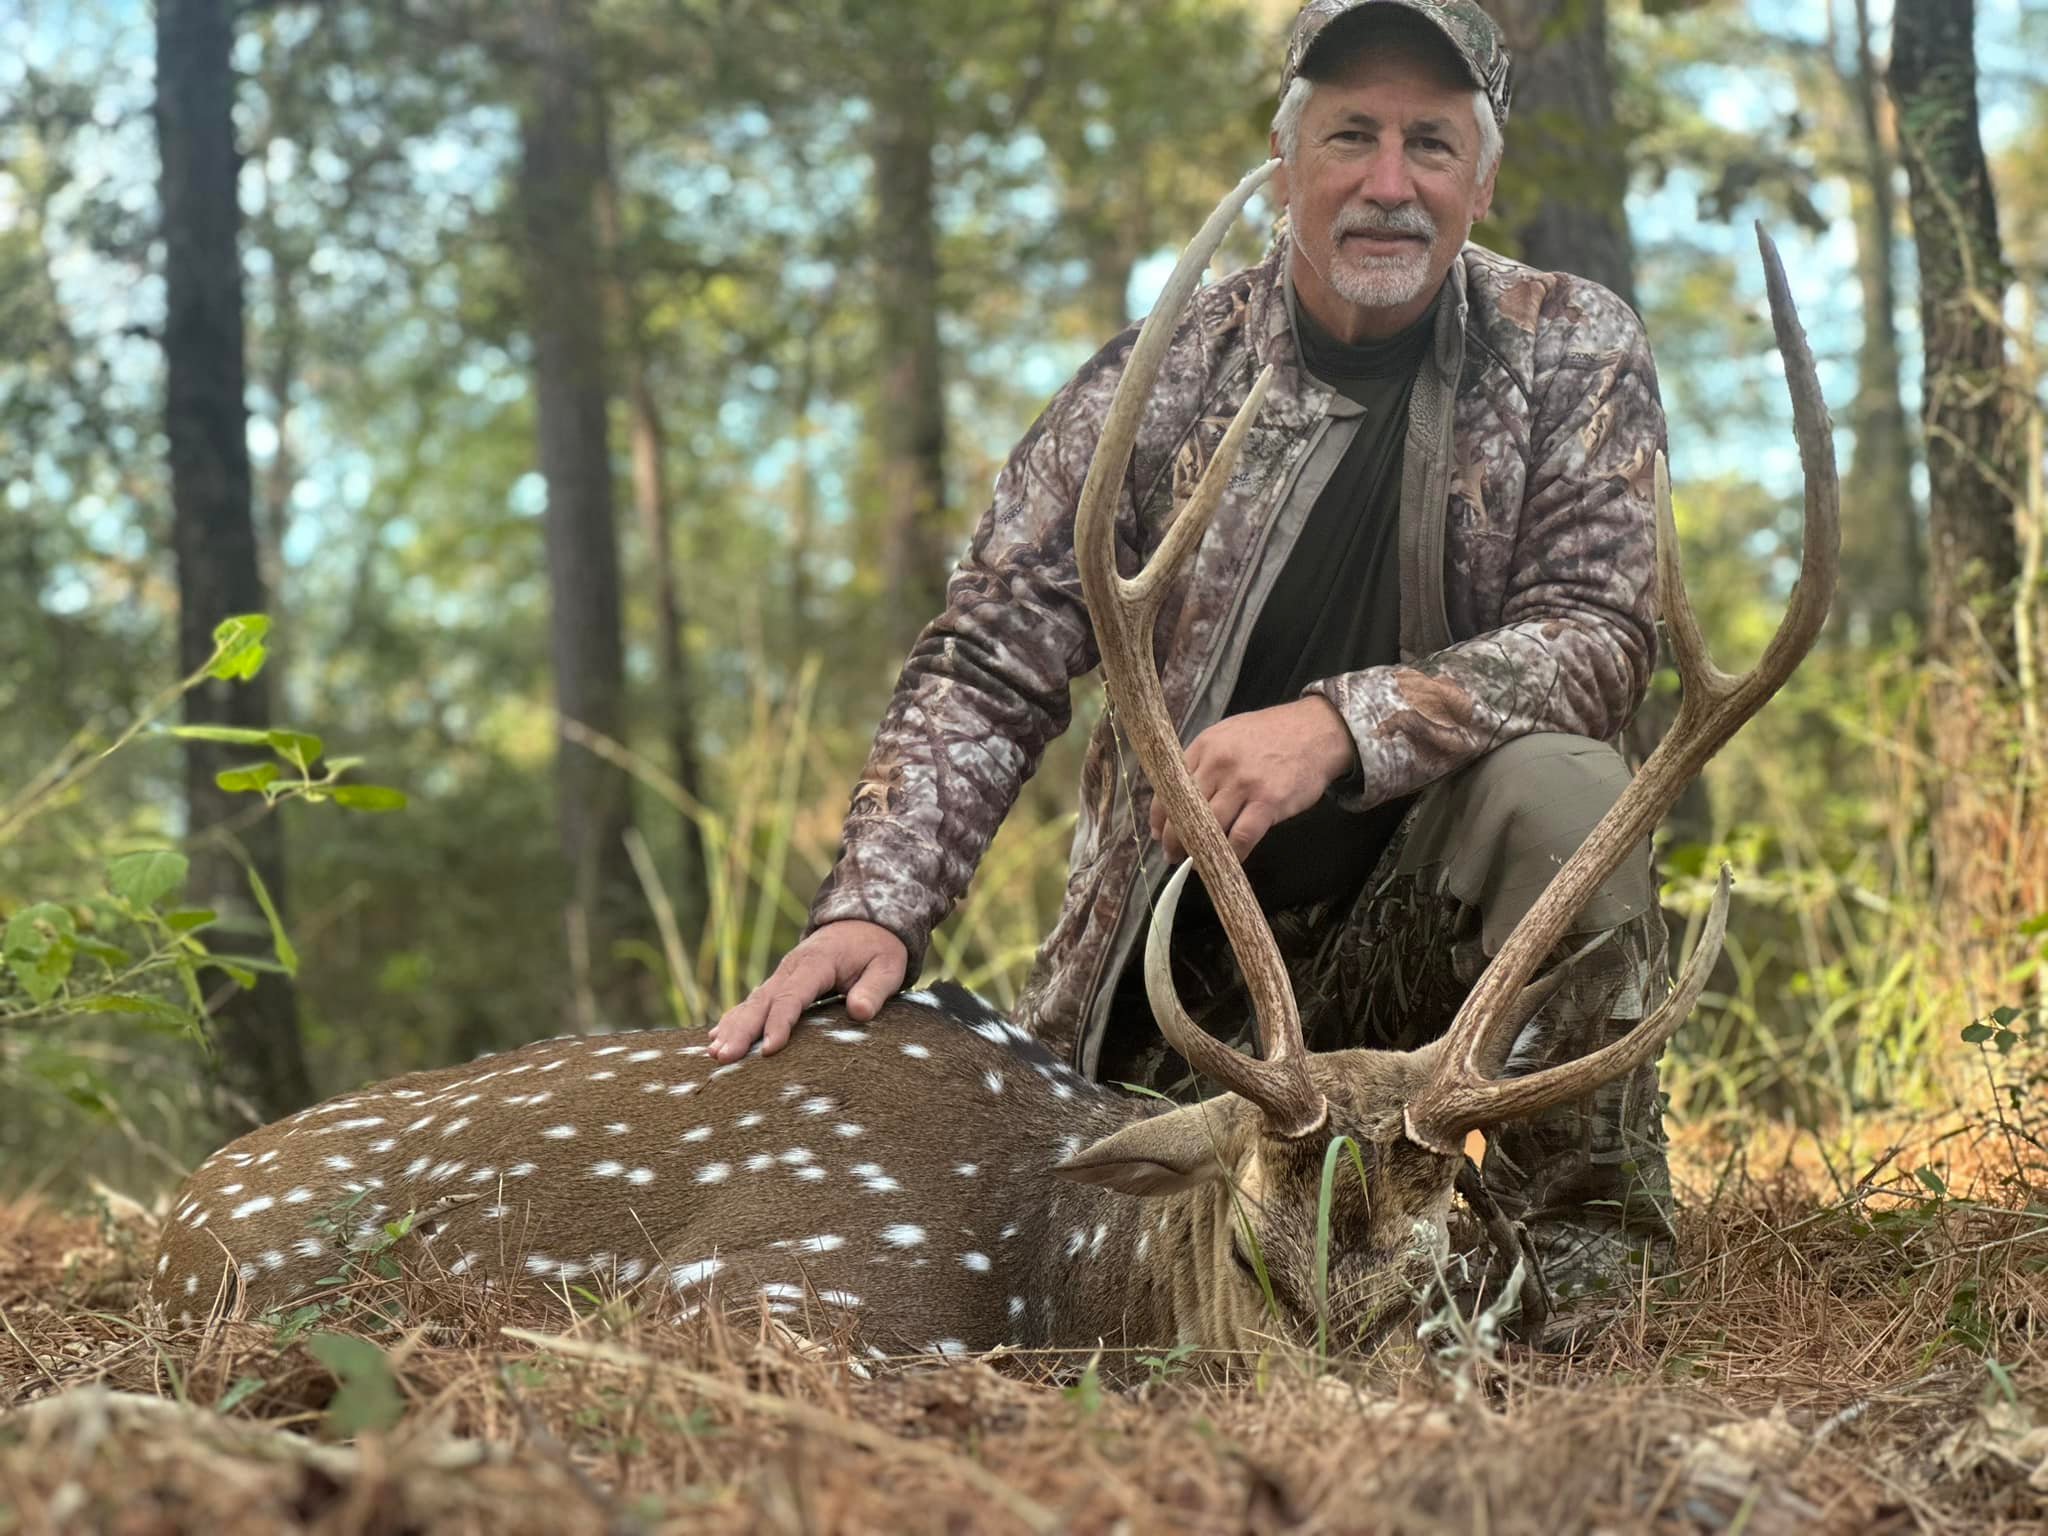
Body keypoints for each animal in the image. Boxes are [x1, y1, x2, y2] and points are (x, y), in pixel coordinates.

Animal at [149, 160, 1838, 1366]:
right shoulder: (780, 1285)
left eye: (1455, 1253)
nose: (1395, 1369)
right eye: (1252, 1245)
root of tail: (162, 1214)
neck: (1048, 1262)